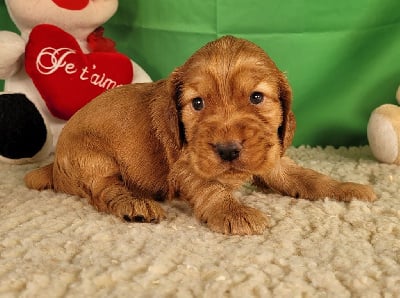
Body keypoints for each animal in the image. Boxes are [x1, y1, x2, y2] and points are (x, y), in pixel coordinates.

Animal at [24, 35, 376, 235]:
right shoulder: (185, 165)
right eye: (197, 103)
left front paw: (348, 188)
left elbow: (310, 178)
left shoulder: (271, 154)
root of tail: (54, 166)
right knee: (103, 191)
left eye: (256, 97)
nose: (228, 150)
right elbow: (211, 188)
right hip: (91, 156)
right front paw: (234, 211)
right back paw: (135, 204)